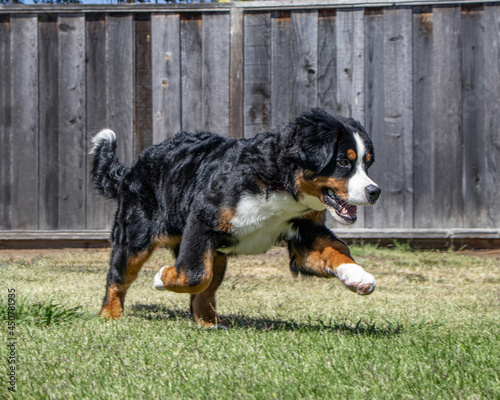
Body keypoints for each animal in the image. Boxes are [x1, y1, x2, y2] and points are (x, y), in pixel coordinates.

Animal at [91, 108, 378, 324]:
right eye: (343, 162)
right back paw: (110, 315)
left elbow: (336, 249)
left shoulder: (304, 233)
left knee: (204, 292)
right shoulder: (202, 221)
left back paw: (208, 323)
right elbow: (193, 275)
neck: (279, 182)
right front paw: (161, 278)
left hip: (217, 254)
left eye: (367, 164)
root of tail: (132, 168)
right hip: (136, 236)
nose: (374, 191)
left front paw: (357, 276)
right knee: (117, 279)